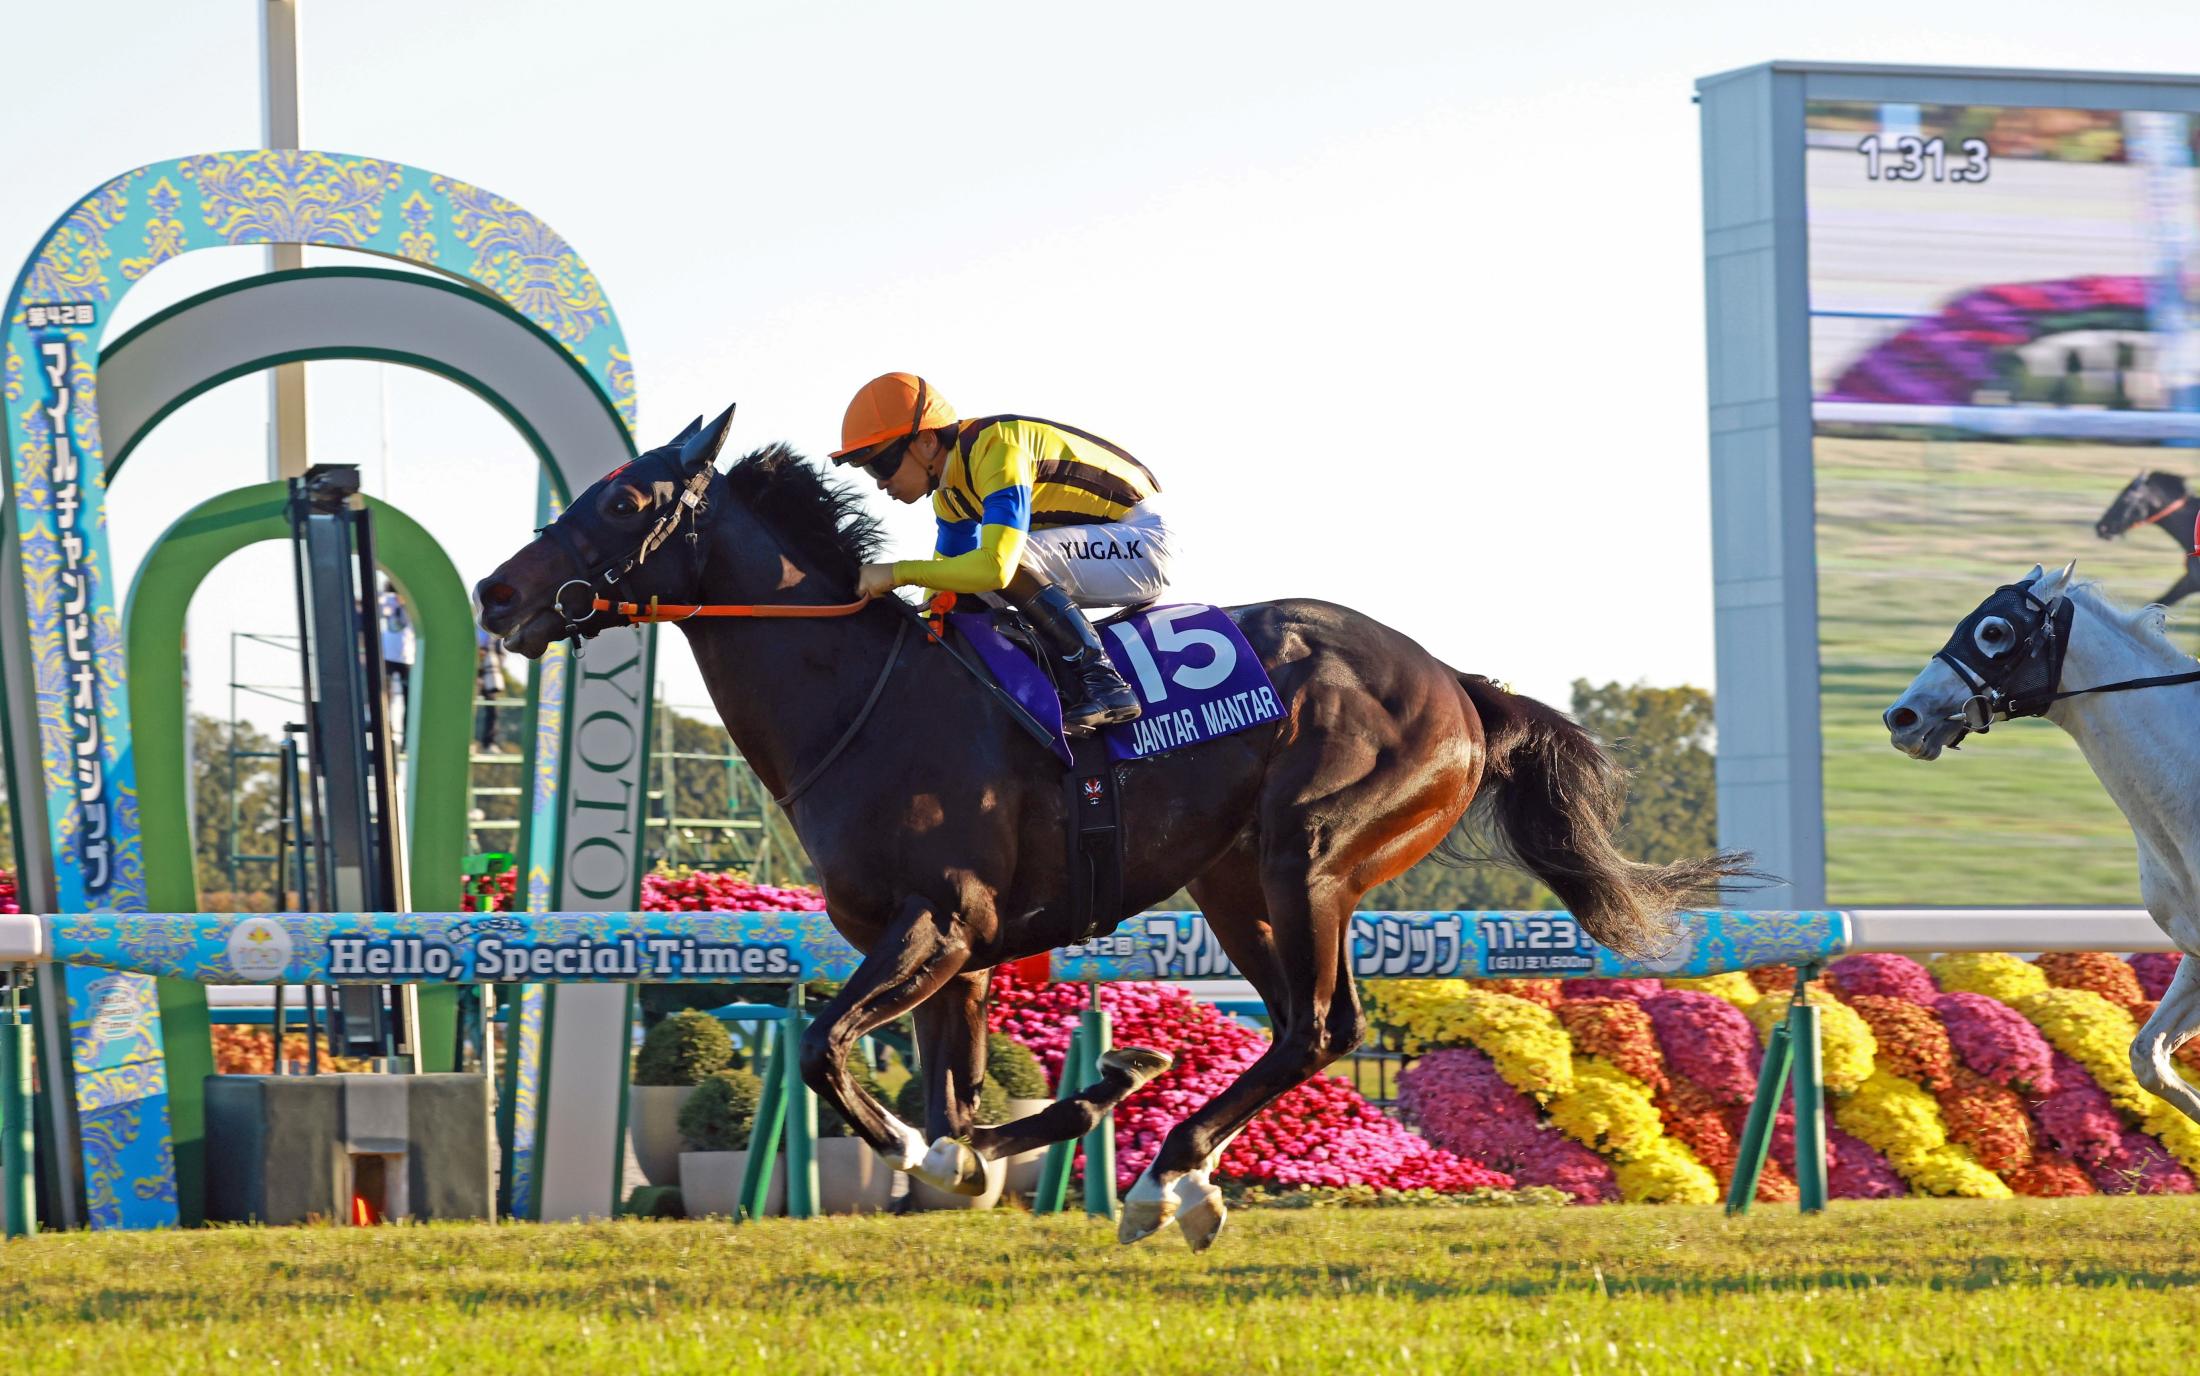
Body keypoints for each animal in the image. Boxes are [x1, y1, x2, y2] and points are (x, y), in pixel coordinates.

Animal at [473, 406, 1750, 1248]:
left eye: (625, 501)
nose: (494, 592)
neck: (860, 696)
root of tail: (1456, 685)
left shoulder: (939, 920)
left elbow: (830, 1049)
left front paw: (964, 1142)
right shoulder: (957, 954)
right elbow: (951, 1098)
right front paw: (1032, 1123)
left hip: (1308, 852)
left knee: (1317, 1028)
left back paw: (1165, 1173)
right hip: (1236, 883)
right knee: (1309, 1027)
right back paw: (1185, 1175)